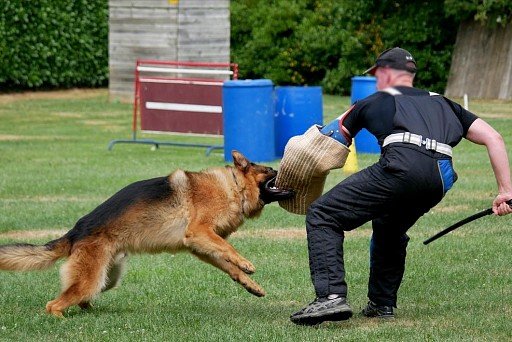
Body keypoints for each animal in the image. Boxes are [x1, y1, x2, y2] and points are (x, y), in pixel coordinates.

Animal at [0, 151, 284, 316]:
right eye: (272, 171)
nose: (285, 171)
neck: (232, 187)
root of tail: (75, 233)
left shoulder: (200, 246)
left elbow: (229, 266)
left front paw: (250, 284)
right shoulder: (199, 233)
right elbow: (229, 250)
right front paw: (246, 263)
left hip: (106, 278)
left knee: (81, 297)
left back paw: (90, 311)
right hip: (91, 278)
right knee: (54, 304)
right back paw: (63, 316)